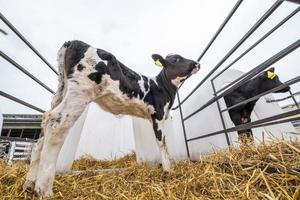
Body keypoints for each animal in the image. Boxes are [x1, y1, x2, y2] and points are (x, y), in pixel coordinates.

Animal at [23, 40, 200, 197]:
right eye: (176, 59)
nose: (197, 63)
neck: (161, 87)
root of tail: (73, 41)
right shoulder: (158, 115)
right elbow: (162, 142)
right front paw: (167, 170)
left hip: (62, 90)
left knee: (45, 123)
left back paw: (29, 183)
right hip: (79, 93)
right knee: (57, 124)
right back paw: (44, 189)